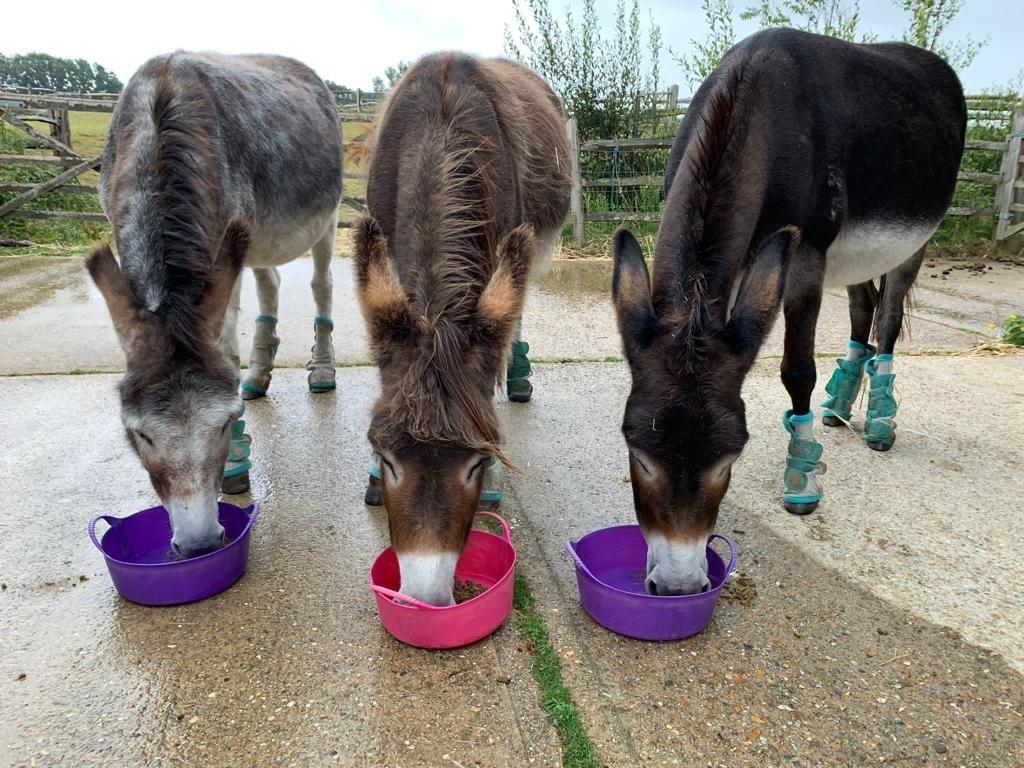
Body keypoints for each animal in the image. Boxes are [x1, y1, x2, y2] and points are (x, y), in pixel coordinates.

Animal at [88, 52, 343, 557]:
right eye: (140, 434)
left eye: (225, 423)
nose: (199, 545)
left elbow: (224, 348)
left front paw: (236, 464)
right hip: (258, 234)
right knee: (270, 281)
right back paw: (259, 373)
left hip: (325, 219)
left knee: (320, 284)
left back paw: (321, 369)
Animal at [611, 28, 965, 595]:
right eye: (639, 455)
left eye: (730, 459)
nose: (678, 587)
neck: (750, 98)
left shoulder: (804, 254)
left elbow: (797, 369)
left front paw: (801, 474)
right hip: (853, 255)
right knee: (864, 305)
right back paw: (839, 406)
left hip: (913, 239)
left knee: (888, 317)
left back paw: (879, 421)